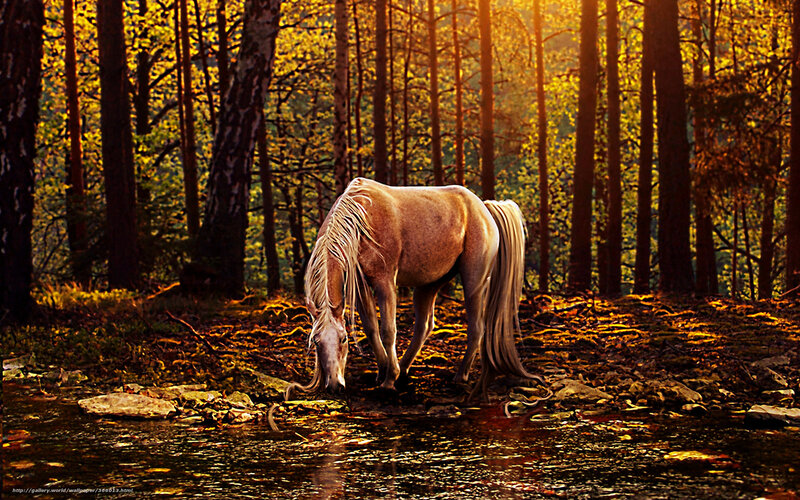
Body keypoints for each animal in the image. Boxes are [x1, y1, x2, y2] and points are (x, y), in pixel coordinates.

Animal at [289, 177, 533, 398]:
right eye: (316, 341)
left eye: (343, 339)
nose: (334, 386)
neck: (362, 219)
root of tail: (484, 207)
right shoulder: (361, 287)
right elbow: (371, 328)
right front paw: (383, 371)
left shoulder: (385, 281)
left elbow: (388, 330)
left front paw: (388, 381)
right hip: (429, 284)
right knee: (424, 326)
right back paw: (405, 370)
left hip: (474, 281)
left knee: (476, 328)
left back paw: (459, 376)